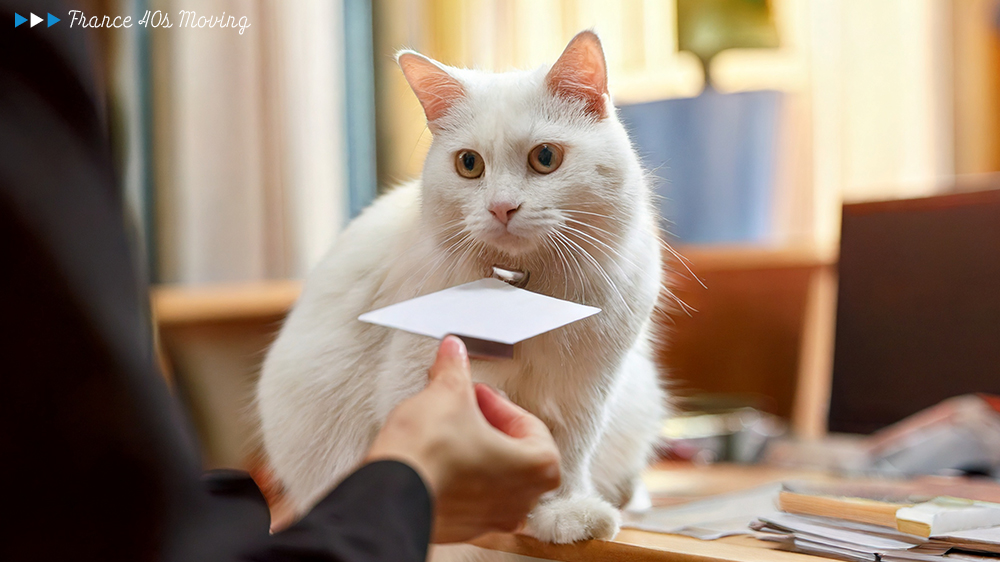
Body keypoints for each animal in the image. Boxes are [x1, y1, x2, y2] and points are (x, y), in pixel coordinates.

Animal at [254, 29, 668, 544]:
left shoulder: (588, 389)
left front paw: (566, 514)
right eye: (469, 164)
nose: (502, 208)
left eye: (545, 158)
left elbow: (568, 457)